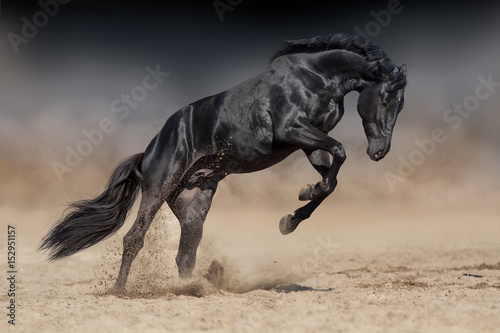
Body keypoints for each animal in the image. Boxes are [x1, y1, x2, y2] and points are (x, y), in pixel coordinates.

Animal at [39, 31, 406, 290]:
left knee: (186, 253)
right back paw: (120, 290)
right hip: (158, 189)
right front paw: (299, 203)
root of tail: (149, 151)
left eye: (401, 104)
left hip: (194, 204)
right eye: (385, 98)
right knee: (134, 238)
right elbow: (340, 153)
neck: (315, 78)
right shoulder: (294, 130)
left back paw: (191, 288)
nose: (379, 151)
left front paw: (293, 214)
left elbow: (331, 180)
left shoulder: (309, 142)